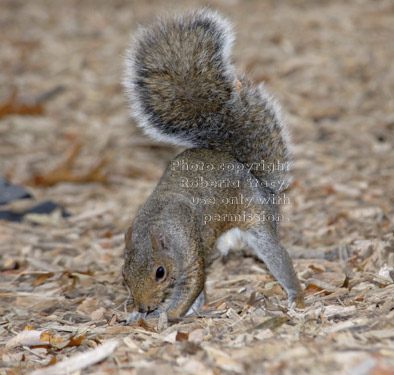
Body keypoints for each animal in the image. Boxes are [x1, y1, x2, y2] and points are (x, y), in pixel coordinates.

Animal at [121, 8, 304, 324]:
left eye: (160, 272)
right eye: (124, 273)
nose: (143, 307)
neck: (156, 224)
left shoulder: (189, 250)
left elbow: (192, 284)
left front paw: (165, 316)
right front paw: (138, 315)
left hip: (255, 219)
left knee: (274, 255)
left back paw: (295, 294)